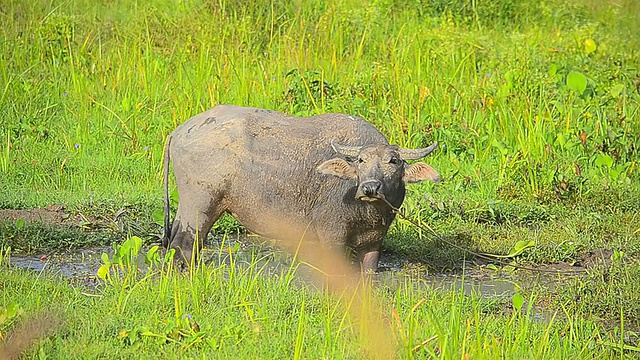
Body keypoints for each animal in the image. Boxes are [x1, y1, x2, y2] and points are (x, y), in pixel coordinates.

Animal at [162, 105, 438, 272]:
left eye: (393, 161)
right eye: (361, 160)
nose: (370, 187)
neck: (365, 213)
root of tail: (178, 132)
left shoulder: (374, 243)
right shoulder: (332, 237)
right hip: (199, 206)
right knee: (183, 246)